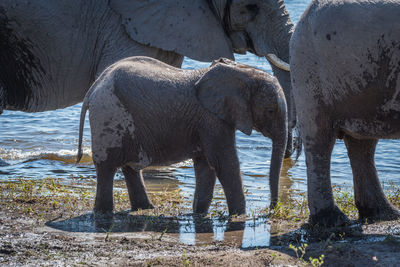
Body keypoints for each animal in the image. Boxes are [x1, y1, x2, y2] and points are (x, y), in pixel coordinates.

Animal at [76, 56, 288, 216]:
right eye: (270, 111)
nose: (271, 210)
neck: (243, 73)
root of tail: (94, 87)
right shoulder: (211, 118)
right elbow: (224, 163)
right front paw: (240, 215)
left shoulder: (206, 121)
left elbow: (206, 165)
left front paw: (199, 213)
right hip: (109, 114)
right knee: (107, 167)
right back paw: (104, 212)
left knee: (130, 166)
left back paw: (146, 208)